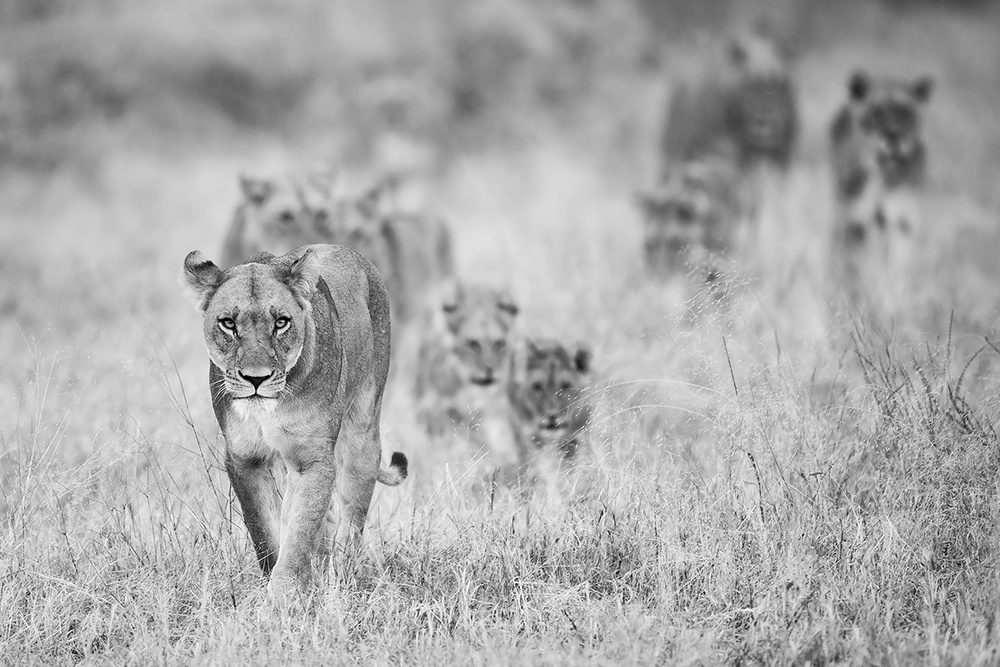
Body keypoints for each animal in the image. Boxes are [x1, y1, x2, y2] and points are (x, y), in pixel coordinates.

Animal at [183, 244, 408, 595]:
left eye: (281, 322)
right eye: (228, 323)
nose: (256, 379)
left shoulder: (311, 460)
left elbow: (299, 533)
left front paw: (284, 598)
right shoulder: (244, 458)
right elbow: (265, 531)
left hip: (363, 432)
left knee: (351, 522)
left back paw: (342, 579)